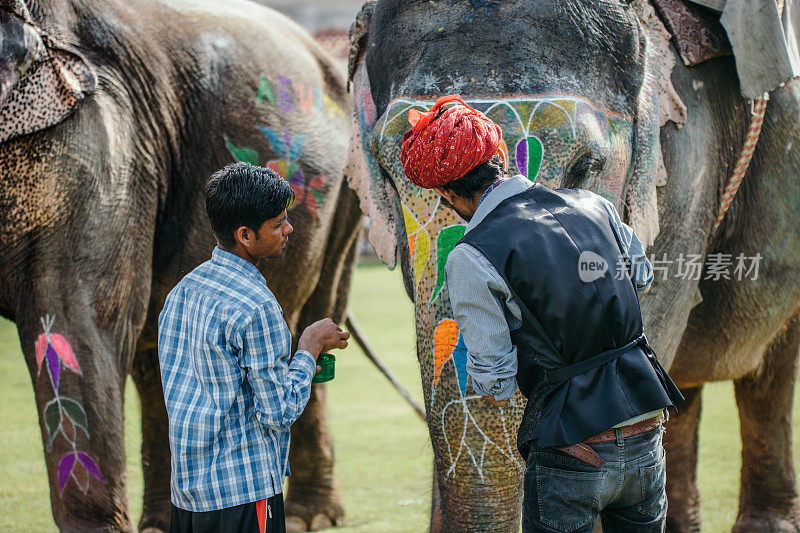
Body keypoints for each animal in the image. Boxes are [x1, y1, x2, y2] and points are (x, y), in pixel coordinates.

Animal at [0, 0, 360, 528]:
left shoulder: (95, 138)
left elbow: (72, 316)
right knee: (155, 353)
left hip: (346, 198)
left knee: (317, 301)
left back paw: (307, 518)